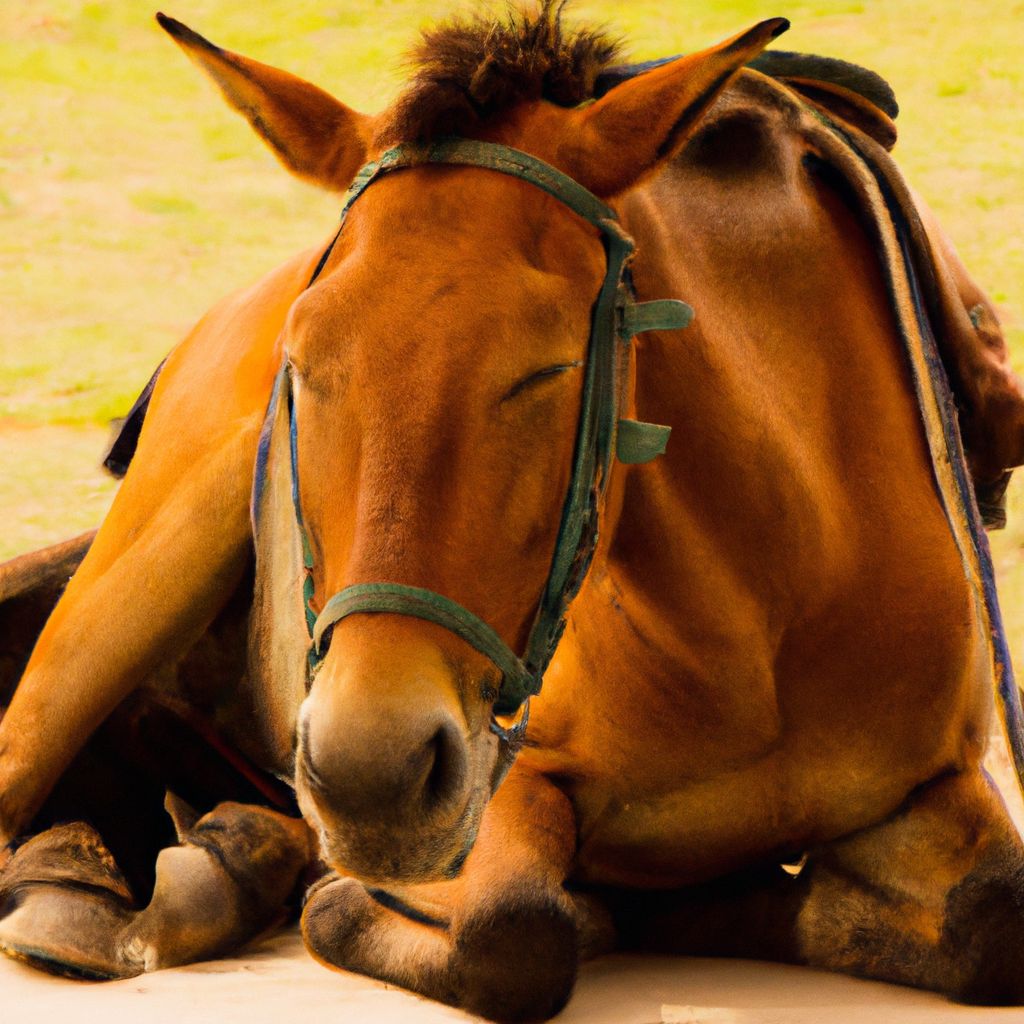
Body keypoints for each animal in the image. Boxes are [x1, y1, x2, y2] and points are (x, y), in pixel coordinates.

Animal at [2, 4, 1024, 1019]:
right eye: (303, 360)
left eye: (549, 368)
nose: (371, 777)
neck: (759, 613)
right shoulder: (512, 778)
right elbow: (515, 933)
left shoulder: (938, 782)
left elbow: (988, 921)